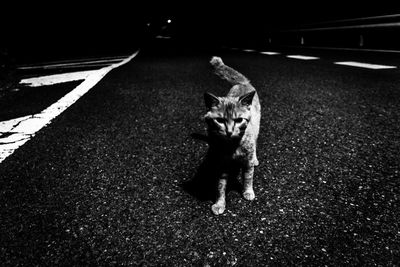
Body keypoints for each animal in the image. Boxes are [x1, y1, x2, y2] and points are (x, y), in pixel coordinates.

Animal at [205, 56, 260, 216]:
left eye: (239, 120)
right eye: (220, 120)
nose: (229, 131)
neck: (233, 146)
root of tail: (242, 83)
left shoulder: (247, 161)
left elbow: (248, 177)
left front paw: (248, 192)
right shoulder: (221, 165)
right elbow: (220, 186)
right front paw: (219, 204)